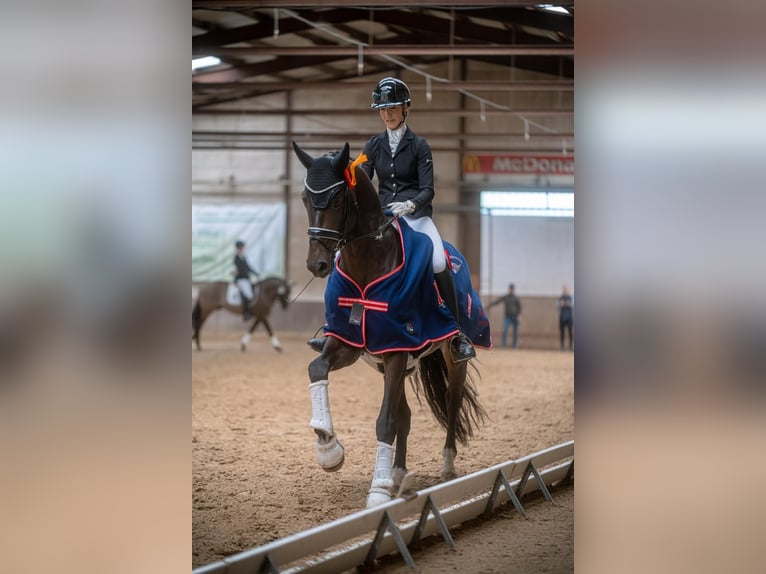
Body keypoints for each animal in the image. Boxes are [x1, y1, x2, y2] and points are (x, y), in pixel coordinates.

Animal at [292, 143, 488, 508]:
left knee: (452, 402)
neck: (367, 262)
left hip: (448, 357)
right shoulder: (350, 343)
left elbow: (385, 422)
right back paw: (397, 472)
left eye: (337, 200)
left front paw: (378, 492)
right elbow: (316, 369)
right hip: (389, 364)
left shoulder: (397, 349)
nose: (317, 264)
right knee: (405, 416)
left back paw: (446, 466)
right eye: (305, 198)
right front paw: (328, 449)